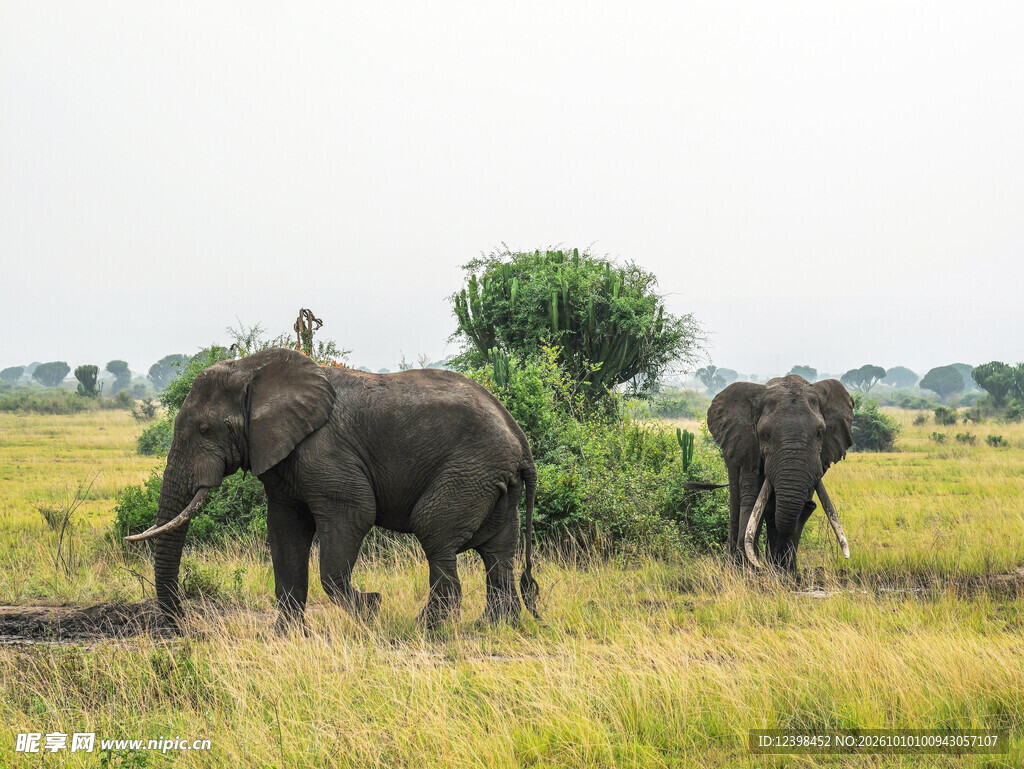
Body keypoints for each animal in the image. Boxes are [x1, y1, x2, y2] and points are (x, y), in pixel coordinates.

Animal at [127, 347, 540, 630]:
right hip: (492, 479)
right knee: (498, 550)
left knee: (436, 533)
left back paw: (429, 629)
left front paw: (371, 609)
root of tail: (520, 438)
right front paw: (285, 637)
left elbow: (355, 513)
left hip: (470, 468)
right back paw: (493, 627)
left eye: (205, 430)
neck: (252, 370)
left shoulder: (325, 453)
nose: (181, 626)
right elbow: (285, 535)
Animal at [706, 374, 854, 572]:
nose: (811, 505)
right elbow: (753, 501)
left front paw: (783, 574)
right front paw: (748, 573)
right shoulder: (750, 448)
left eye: (819, 433)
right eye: (766, 435)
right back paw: (732, 565)